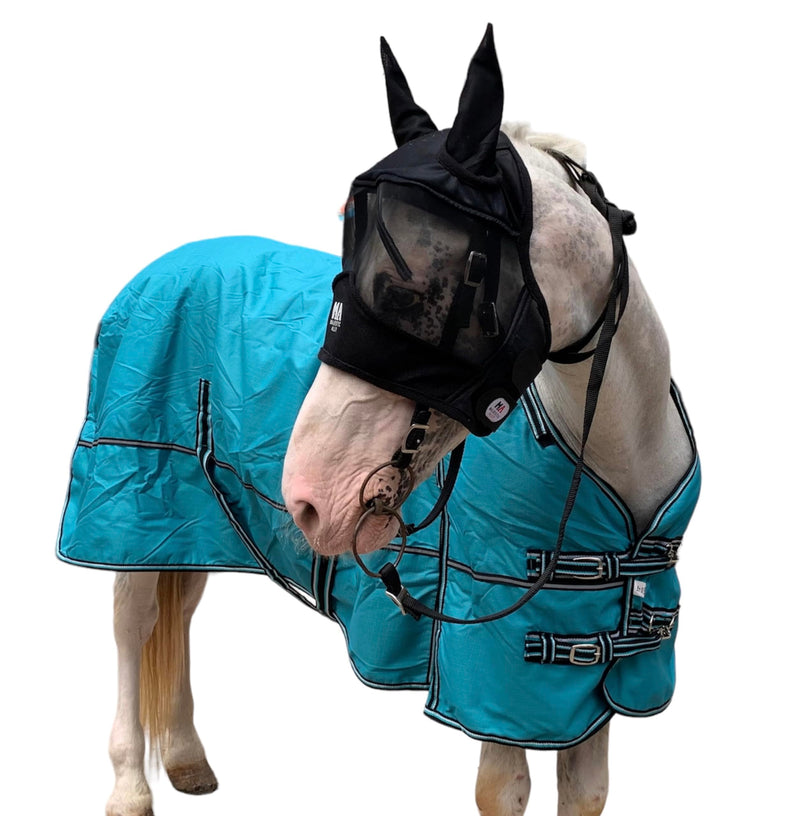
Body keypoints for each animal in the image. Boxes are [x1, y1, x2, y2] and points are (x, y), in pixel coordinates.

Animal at [58, 24, 700, 816]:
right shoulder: (495, 686)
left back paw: (185, 760)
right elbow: (503, 789)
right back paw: (130, 786)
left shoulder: (586, 697)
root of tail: (161, 266)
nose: (307, 495)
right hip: (130, 498)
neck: (617, 456)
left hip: (197, 517)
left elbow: (587, 791)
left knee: (180, 613)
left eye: (431, 281)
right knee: (135, 625)